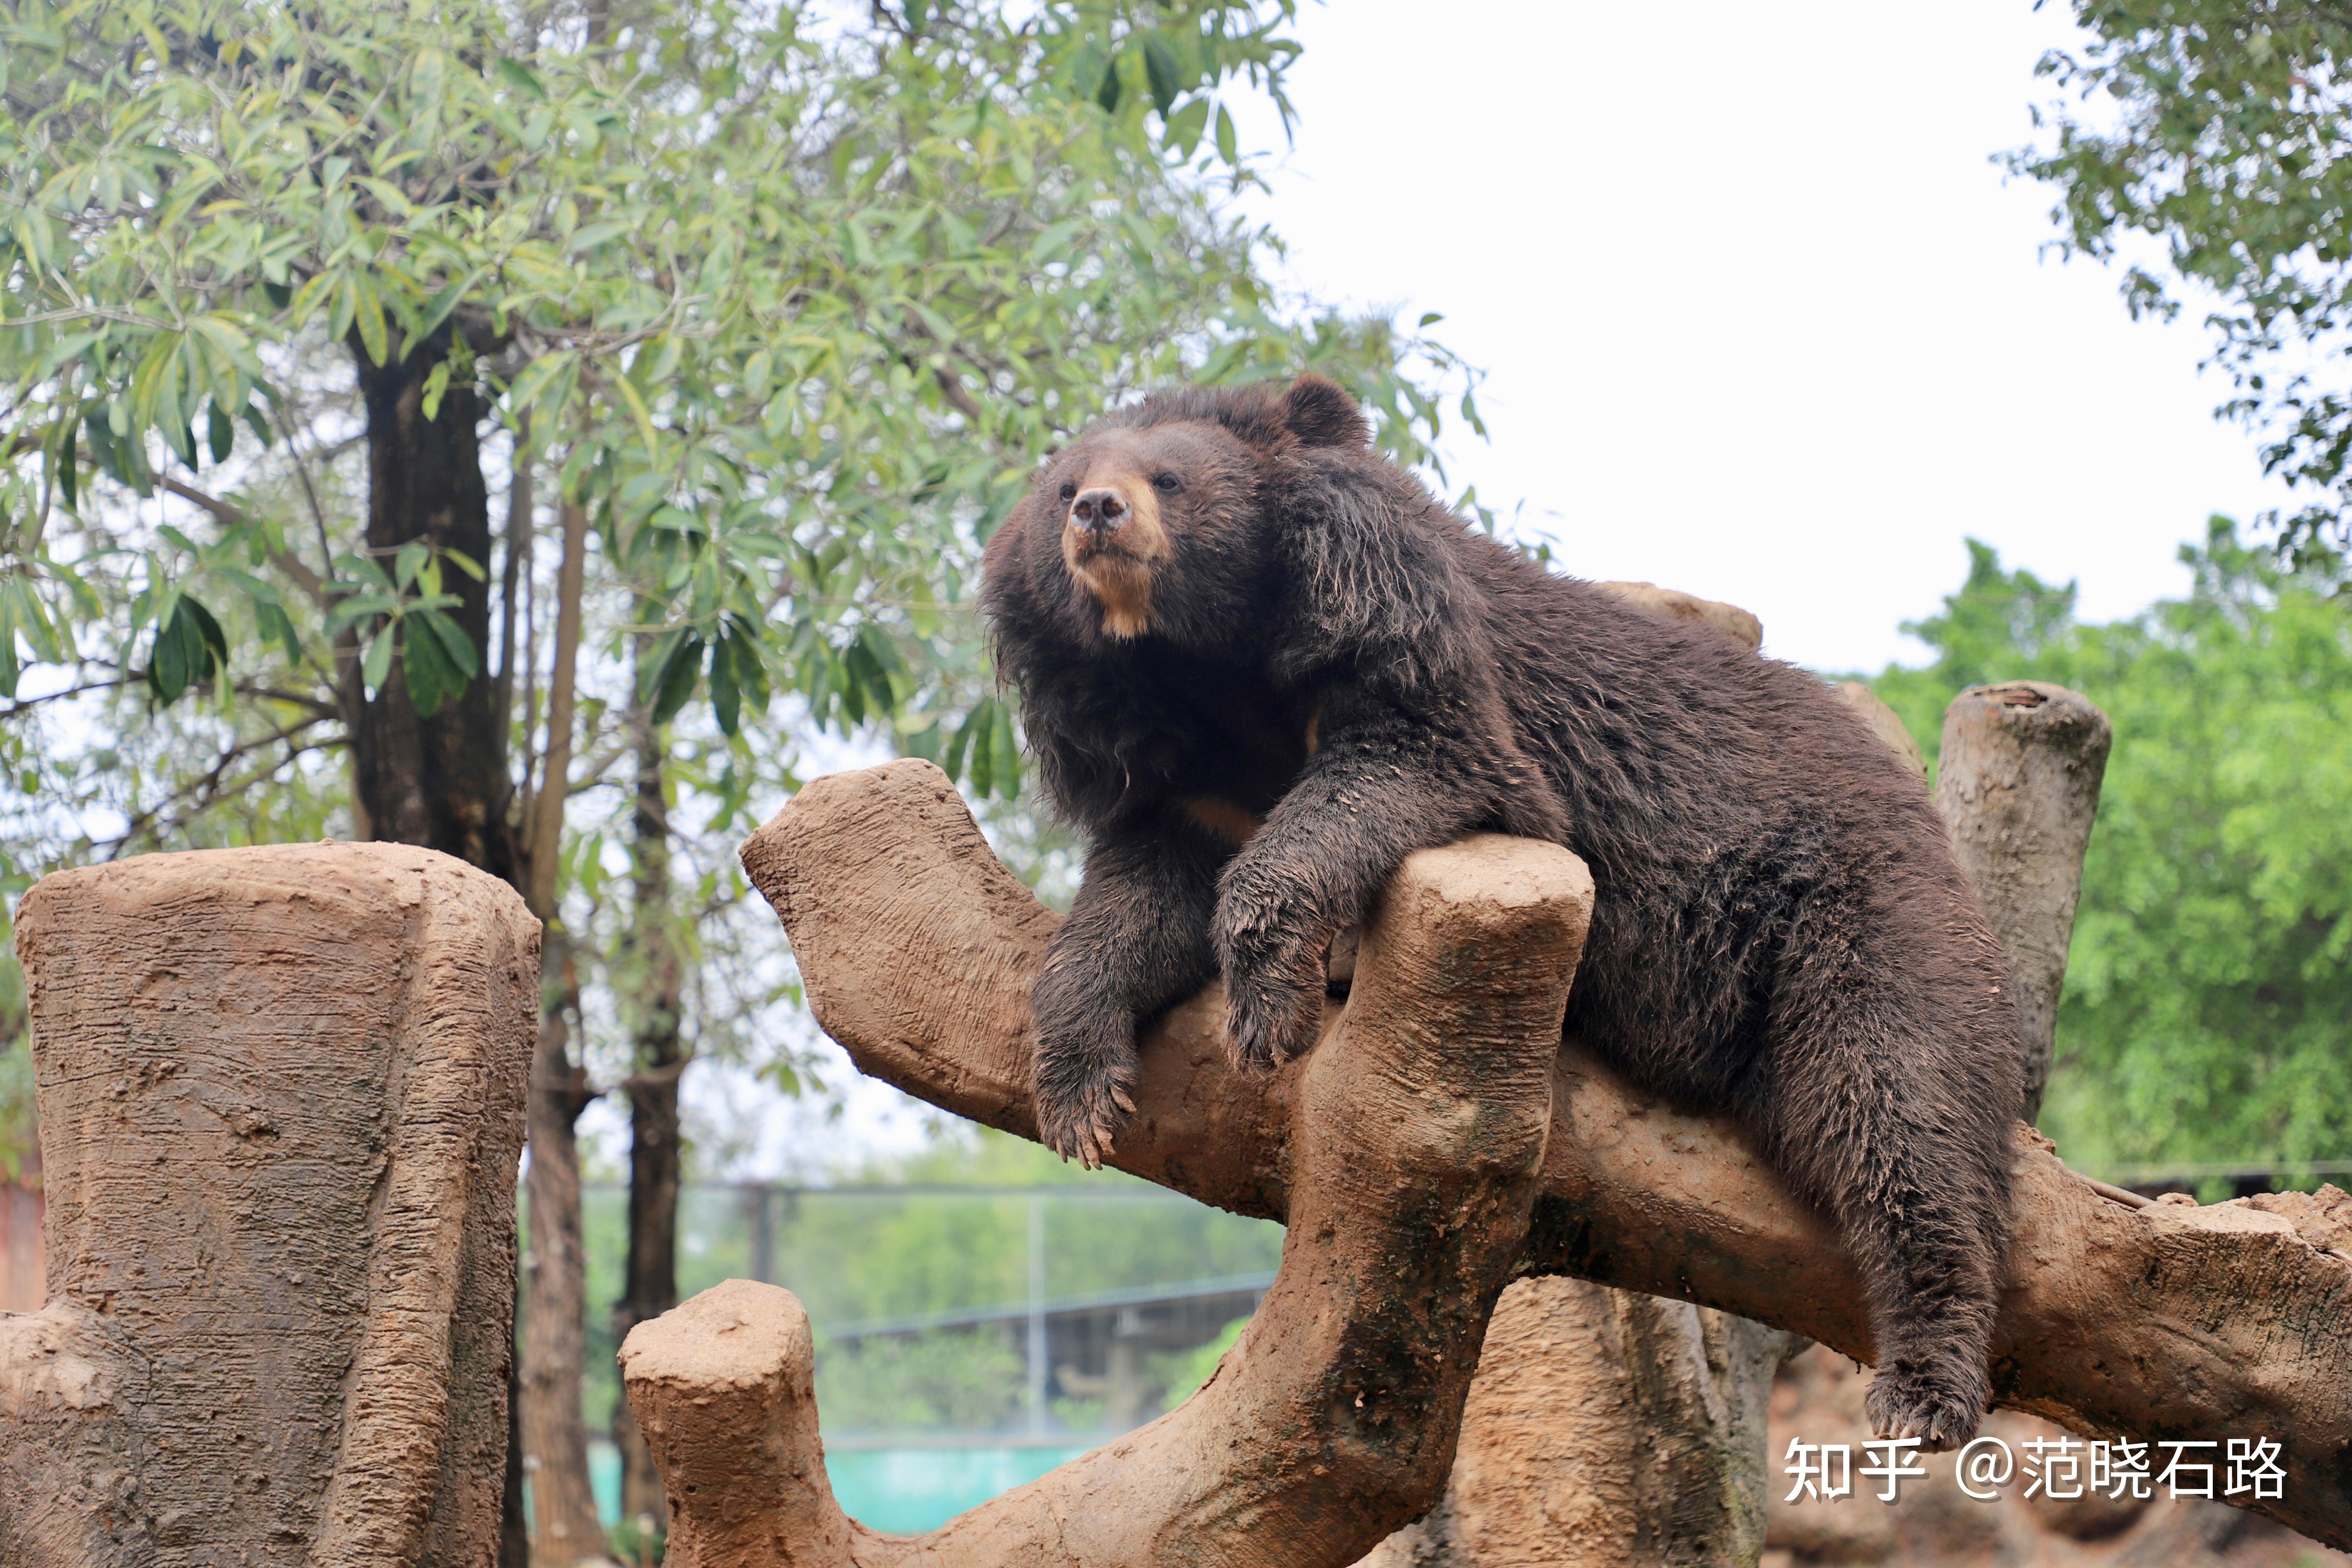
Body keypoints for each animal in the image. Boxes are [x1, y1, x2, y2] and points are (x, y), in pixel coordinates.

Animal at [974, 374, 2023, 1457]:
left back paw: (1924, 1384)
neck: (1210, 665)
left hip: (1862, 913)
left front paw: (1270, 1010)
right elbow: (1138, 899)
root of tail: (1927, 821)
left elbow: (1411, 767)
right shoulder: (1184, 779)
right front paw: (1084, 1099)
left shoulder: (1413, 665)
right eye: (1064, 490)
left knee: (1899, 1101)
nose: (1100, 514)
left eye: (1169, 479)